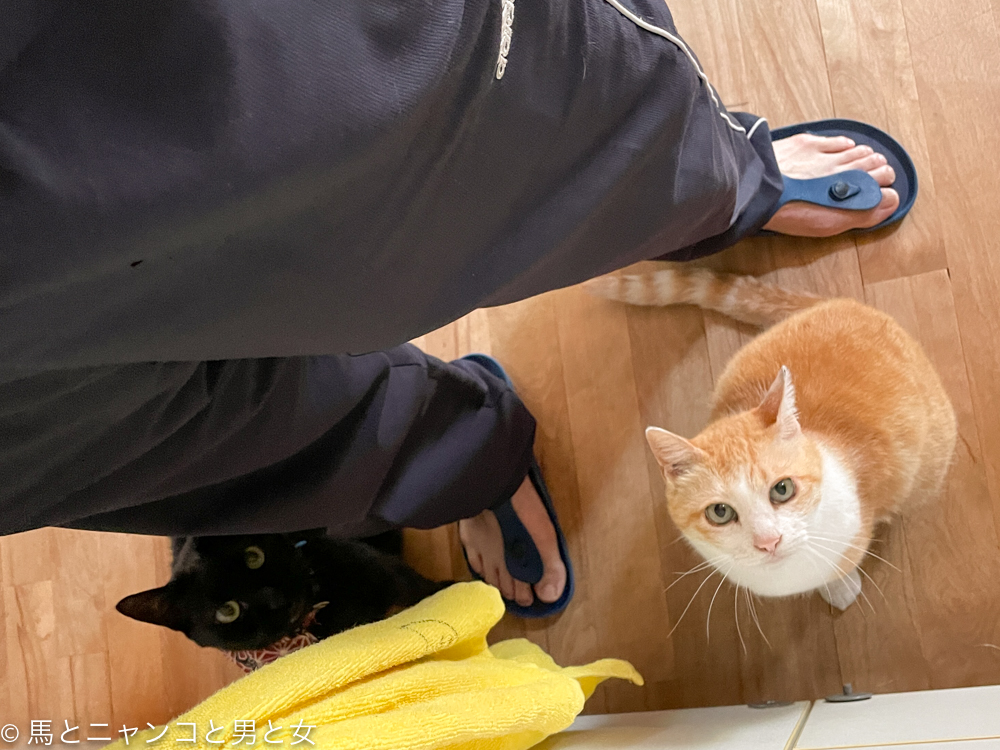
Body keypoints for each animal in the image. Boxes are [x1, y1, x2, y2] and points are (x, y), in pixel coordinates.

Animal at [586, 265, 957, 610]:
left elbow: (839, 565)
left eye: (783, 489)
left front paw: (838, 585)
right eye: (720, 512)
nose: (768, 542)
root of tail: (841, 302)